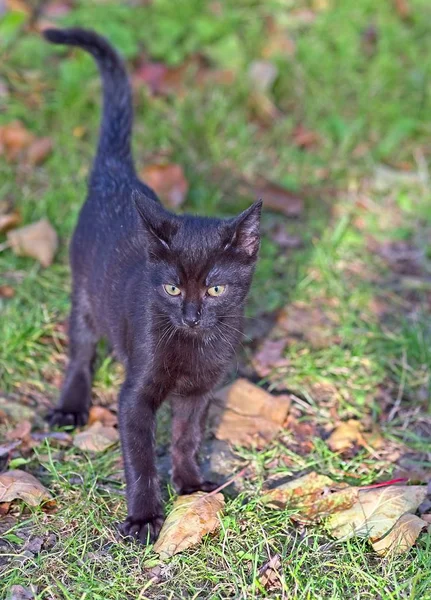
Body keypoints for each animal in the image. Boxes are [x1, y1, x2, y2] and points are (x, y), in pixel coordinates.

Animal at [44, 28, 262, 544]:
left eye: (215, 290)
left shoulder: (202, 389)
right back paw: (71, 406)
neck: (192, 344)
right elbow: (140, 459)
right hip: (83, 290)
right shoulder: (135, 397)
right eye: (172, 289)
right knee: (80, 347)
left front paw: (190, 484)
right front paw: (145, 518)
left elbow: (186, 436)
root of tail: (116, 175)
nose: (192, 315)